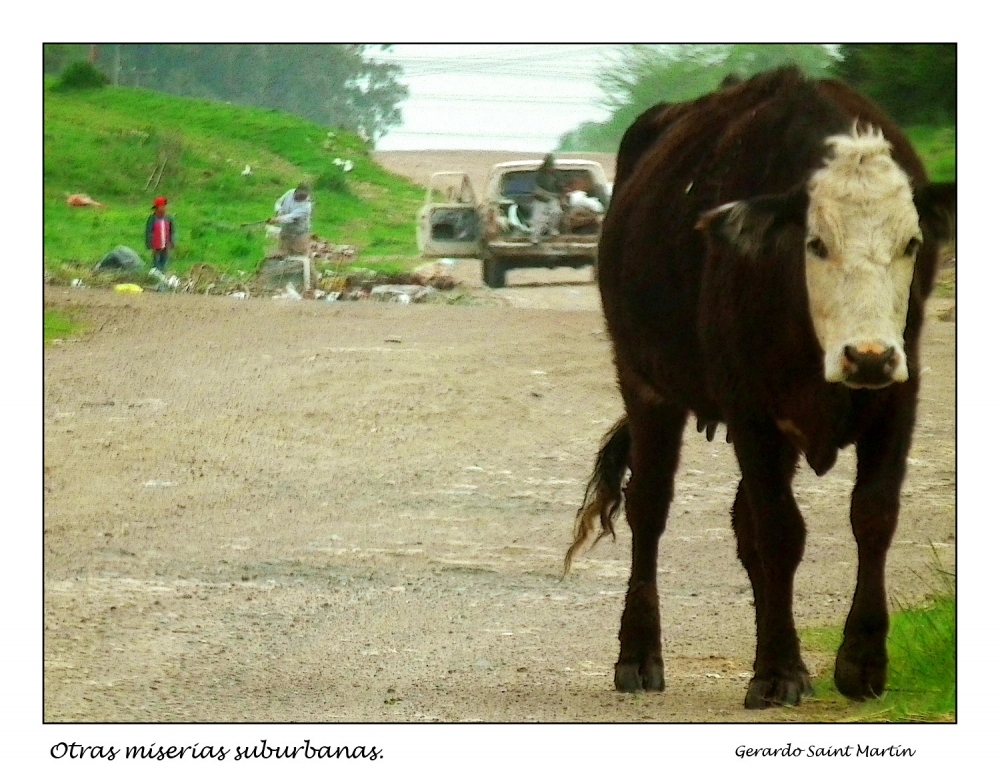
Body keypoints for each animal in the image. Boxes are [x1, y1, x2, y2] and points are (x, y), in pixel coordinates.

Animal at [564, 69, 952, 712]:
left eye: (911, 244)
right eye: (816, 243)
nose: (868, 355)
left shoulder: (899, 396)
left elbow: (872, 515)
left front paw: (861, 663)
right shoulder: (752, 411)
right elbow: (780, 531)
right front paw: (778, 670)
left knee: (743, 523)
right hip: (644, 384)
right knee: (650, 508)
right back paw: (639, 656)